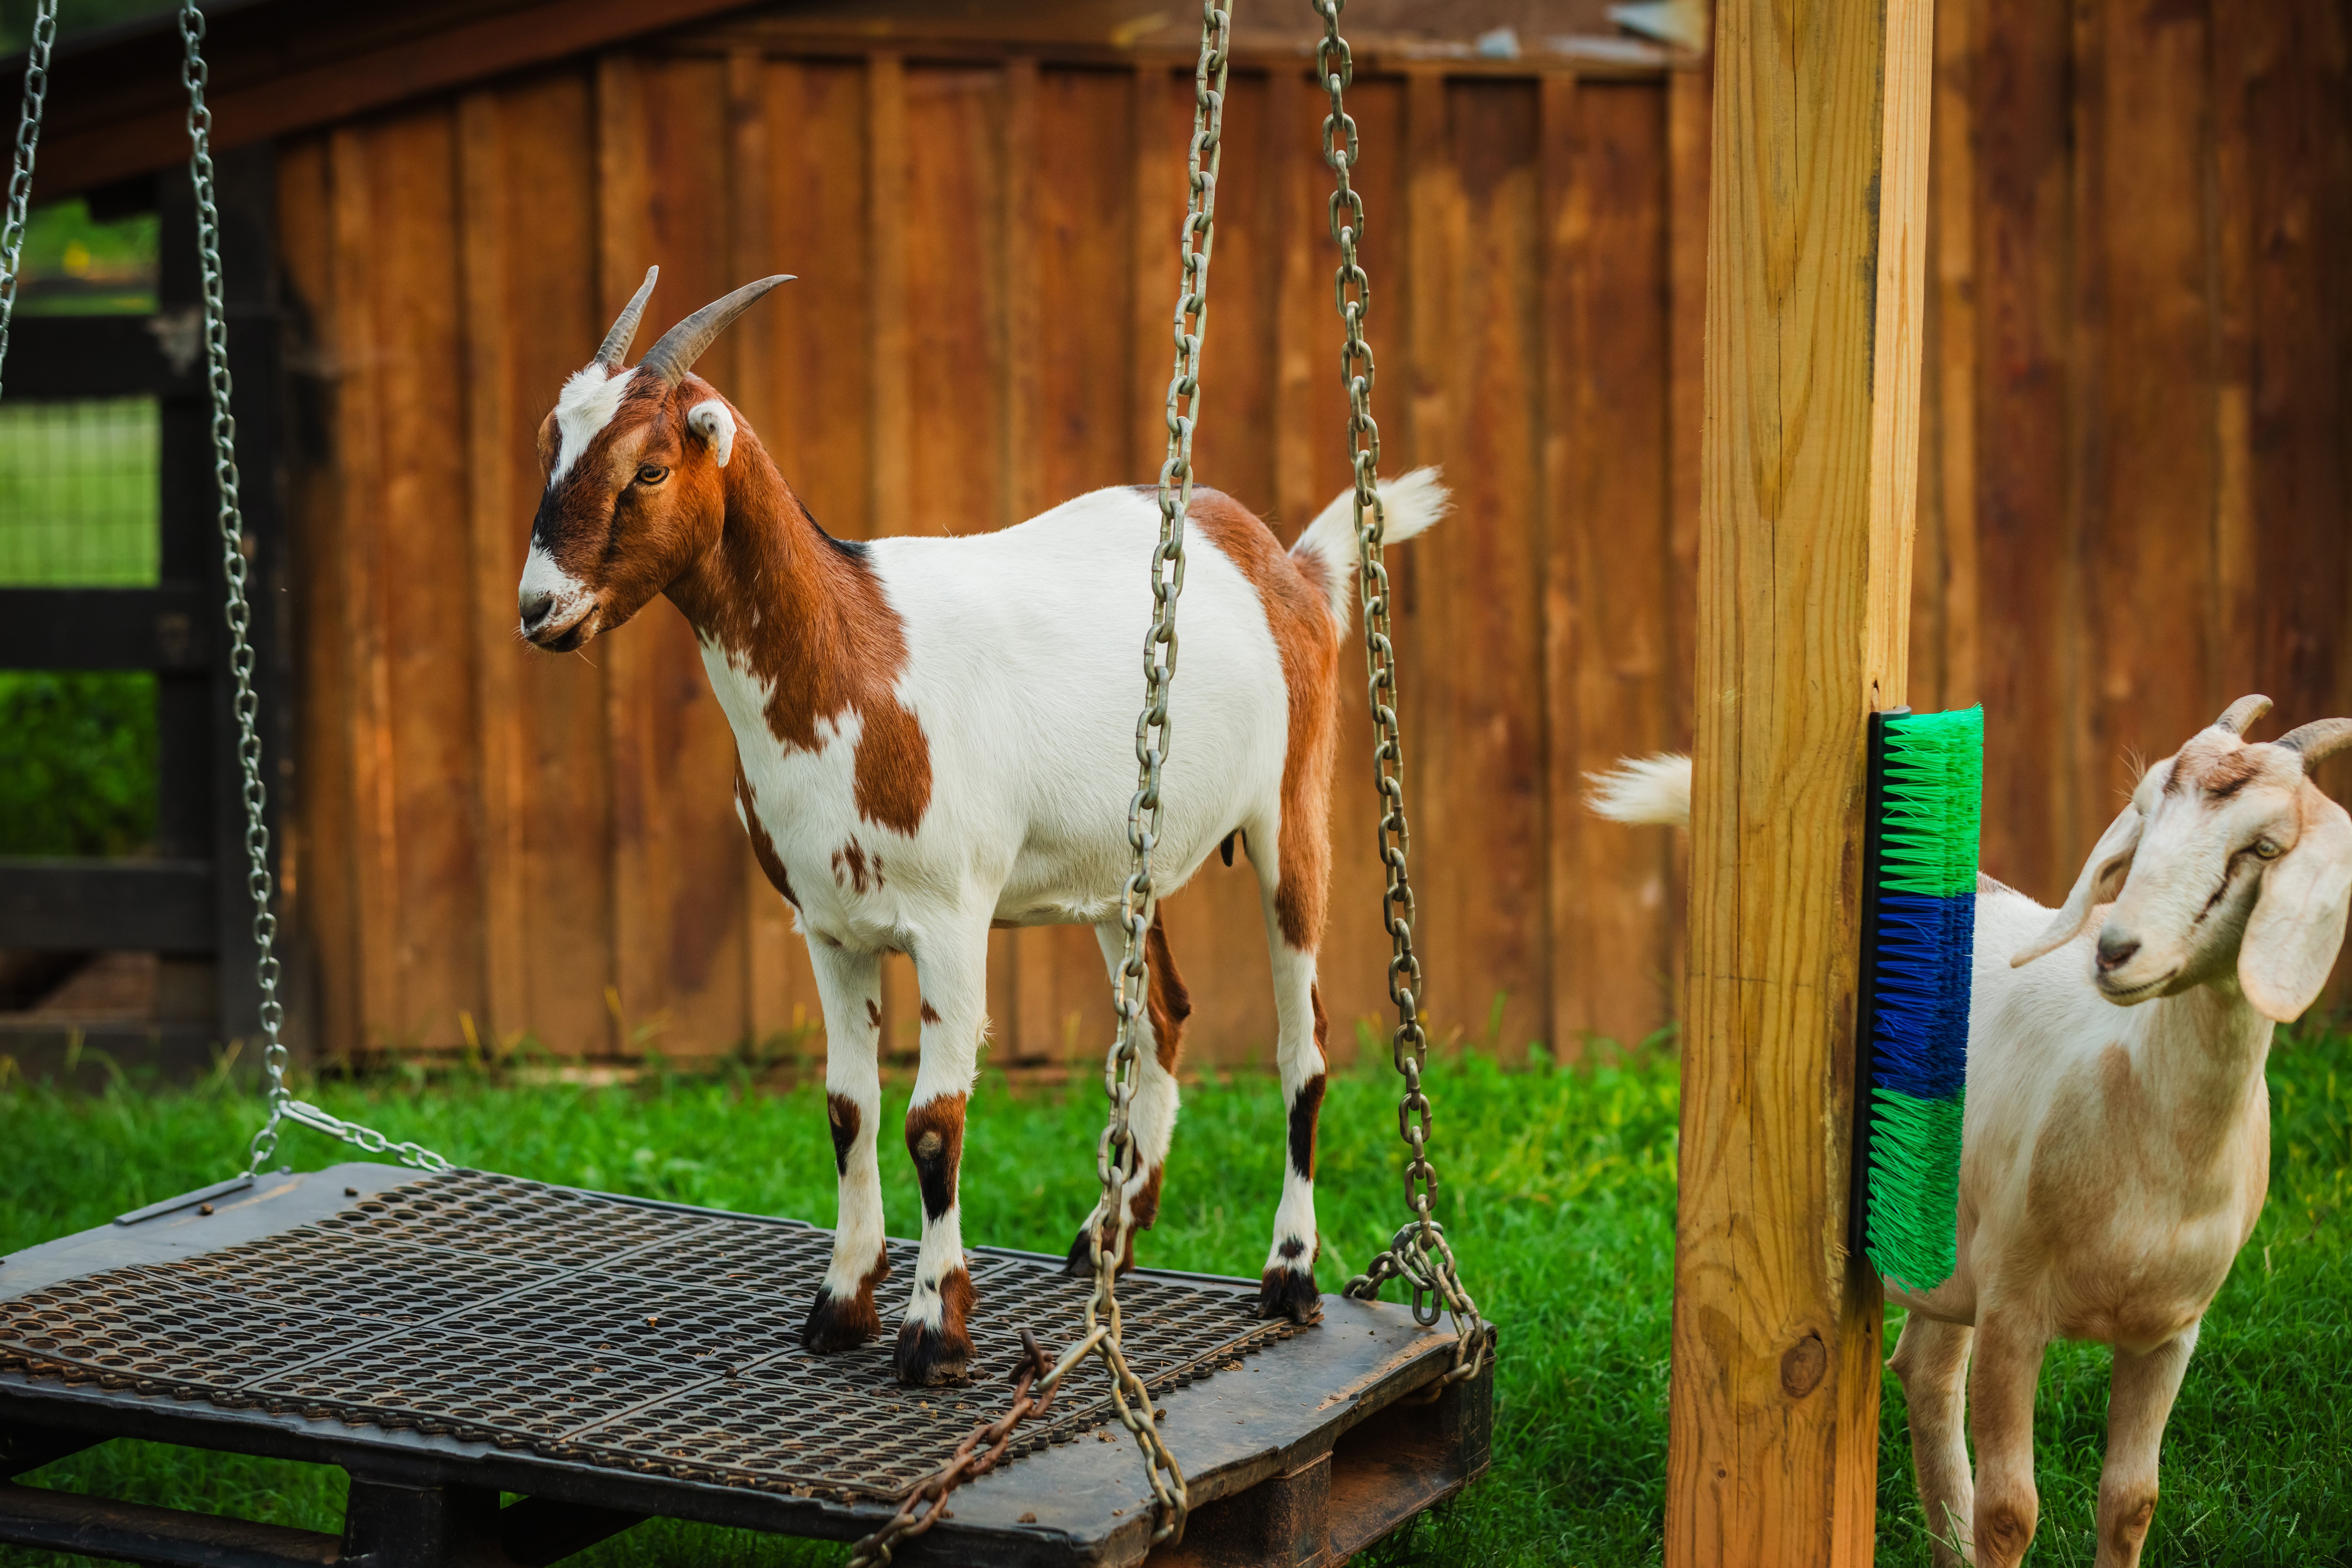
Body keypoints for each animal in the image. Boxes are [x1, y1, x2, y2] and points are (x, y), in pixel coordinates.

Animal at [515, 270, 1450, 1385]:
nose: (538, 610)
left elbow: (933, 1122)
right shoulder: (828, 926)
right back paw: (1109, 1233)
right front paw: (841, 1304)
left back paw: (1290, 1271)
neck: (853, 656)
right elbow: (848, 1110)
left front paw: (933, 1329)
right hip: (1122, 867)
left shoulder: (952, 919)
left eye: (650, 469)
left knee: (1300, 1042)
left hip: (1291, 806)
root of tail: (1288, 564)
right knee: (1163, 1012)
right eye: (548, 448)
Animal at [1589, 697, 2352, 1568]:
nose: (2115, 950)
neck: (2146, 1138)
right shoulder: (2015, 1307)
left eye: (2263, 847)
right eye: (2143, 812)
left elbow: (2131, 1502)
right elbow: (2011, 1511)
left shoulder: (2170, 1330)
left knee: (1924, 1367)